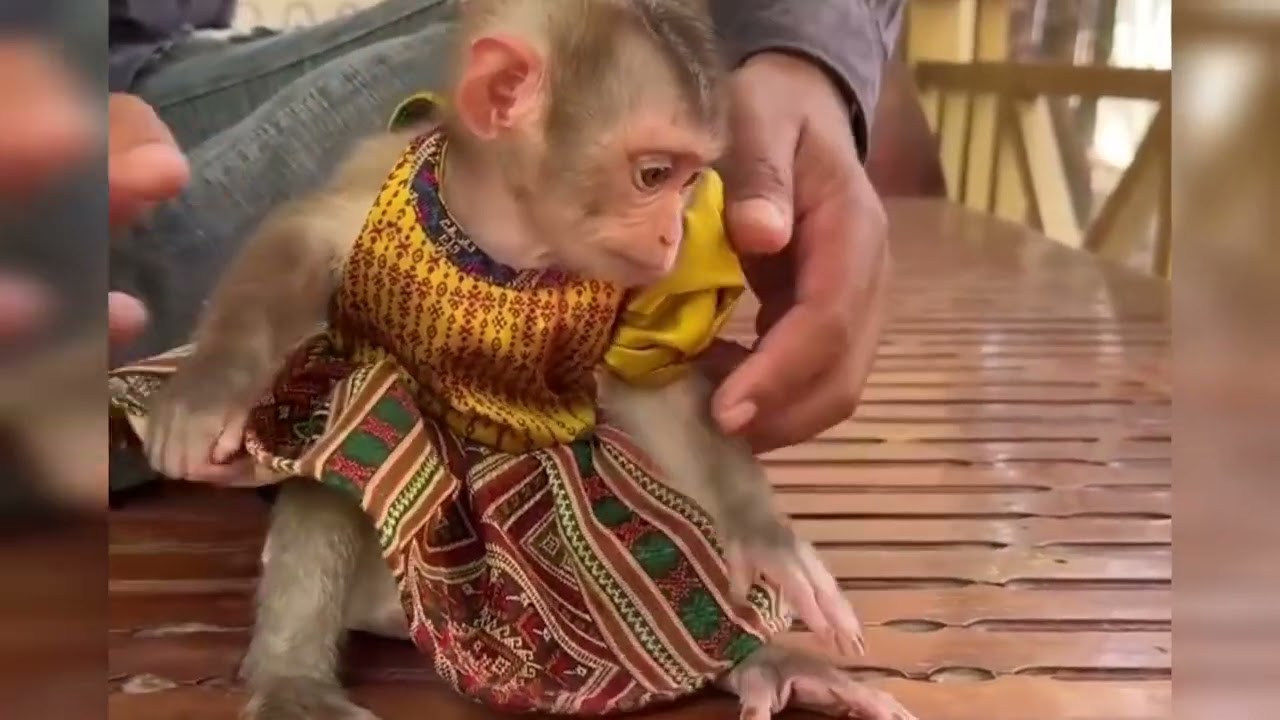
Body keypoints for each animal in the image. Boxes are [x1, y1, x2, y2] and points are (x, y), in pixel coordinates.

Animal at [106, 2, 916, 719]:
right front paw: (207, 391)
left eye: (692, 181)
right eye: (654, 174)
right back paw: (291, 680)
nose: (673, 239)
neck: (513, 248)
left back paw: (762, 662)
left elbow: (654, 398)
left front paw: (763, 535)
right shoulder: (381, 184)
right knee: (352, 432)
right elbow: (296, 244)